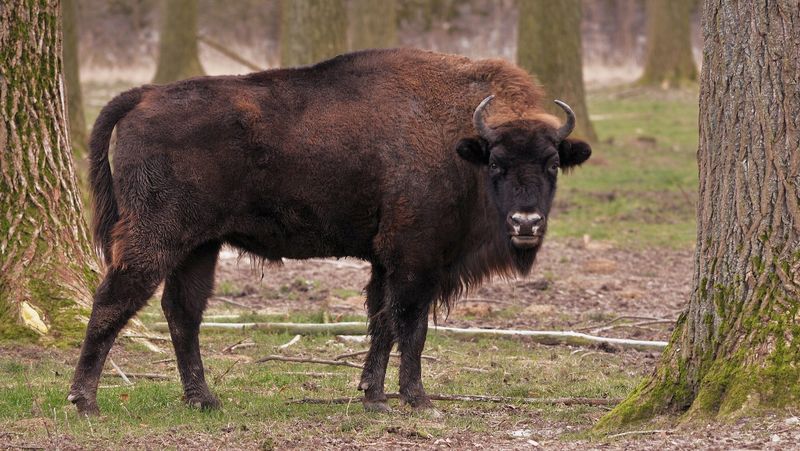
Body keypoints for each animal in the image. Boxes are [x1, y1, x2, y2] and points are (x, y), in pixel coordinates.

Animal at [69, 47, 592, 414]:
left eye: (552, 165)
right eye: (497, 164)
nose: (526, 223)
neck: (462, 145)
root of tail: (146, 94)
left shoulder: (385, 261)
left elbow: (382, 323)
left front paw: (373, 396)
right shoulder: (414, 258)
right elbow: (412, 326)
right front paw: (417, 399)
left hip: (200, 246)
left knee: (182, 312)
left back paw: (204, 399)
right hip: (157, 236)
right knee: (114, 299)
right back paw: (84, 400)